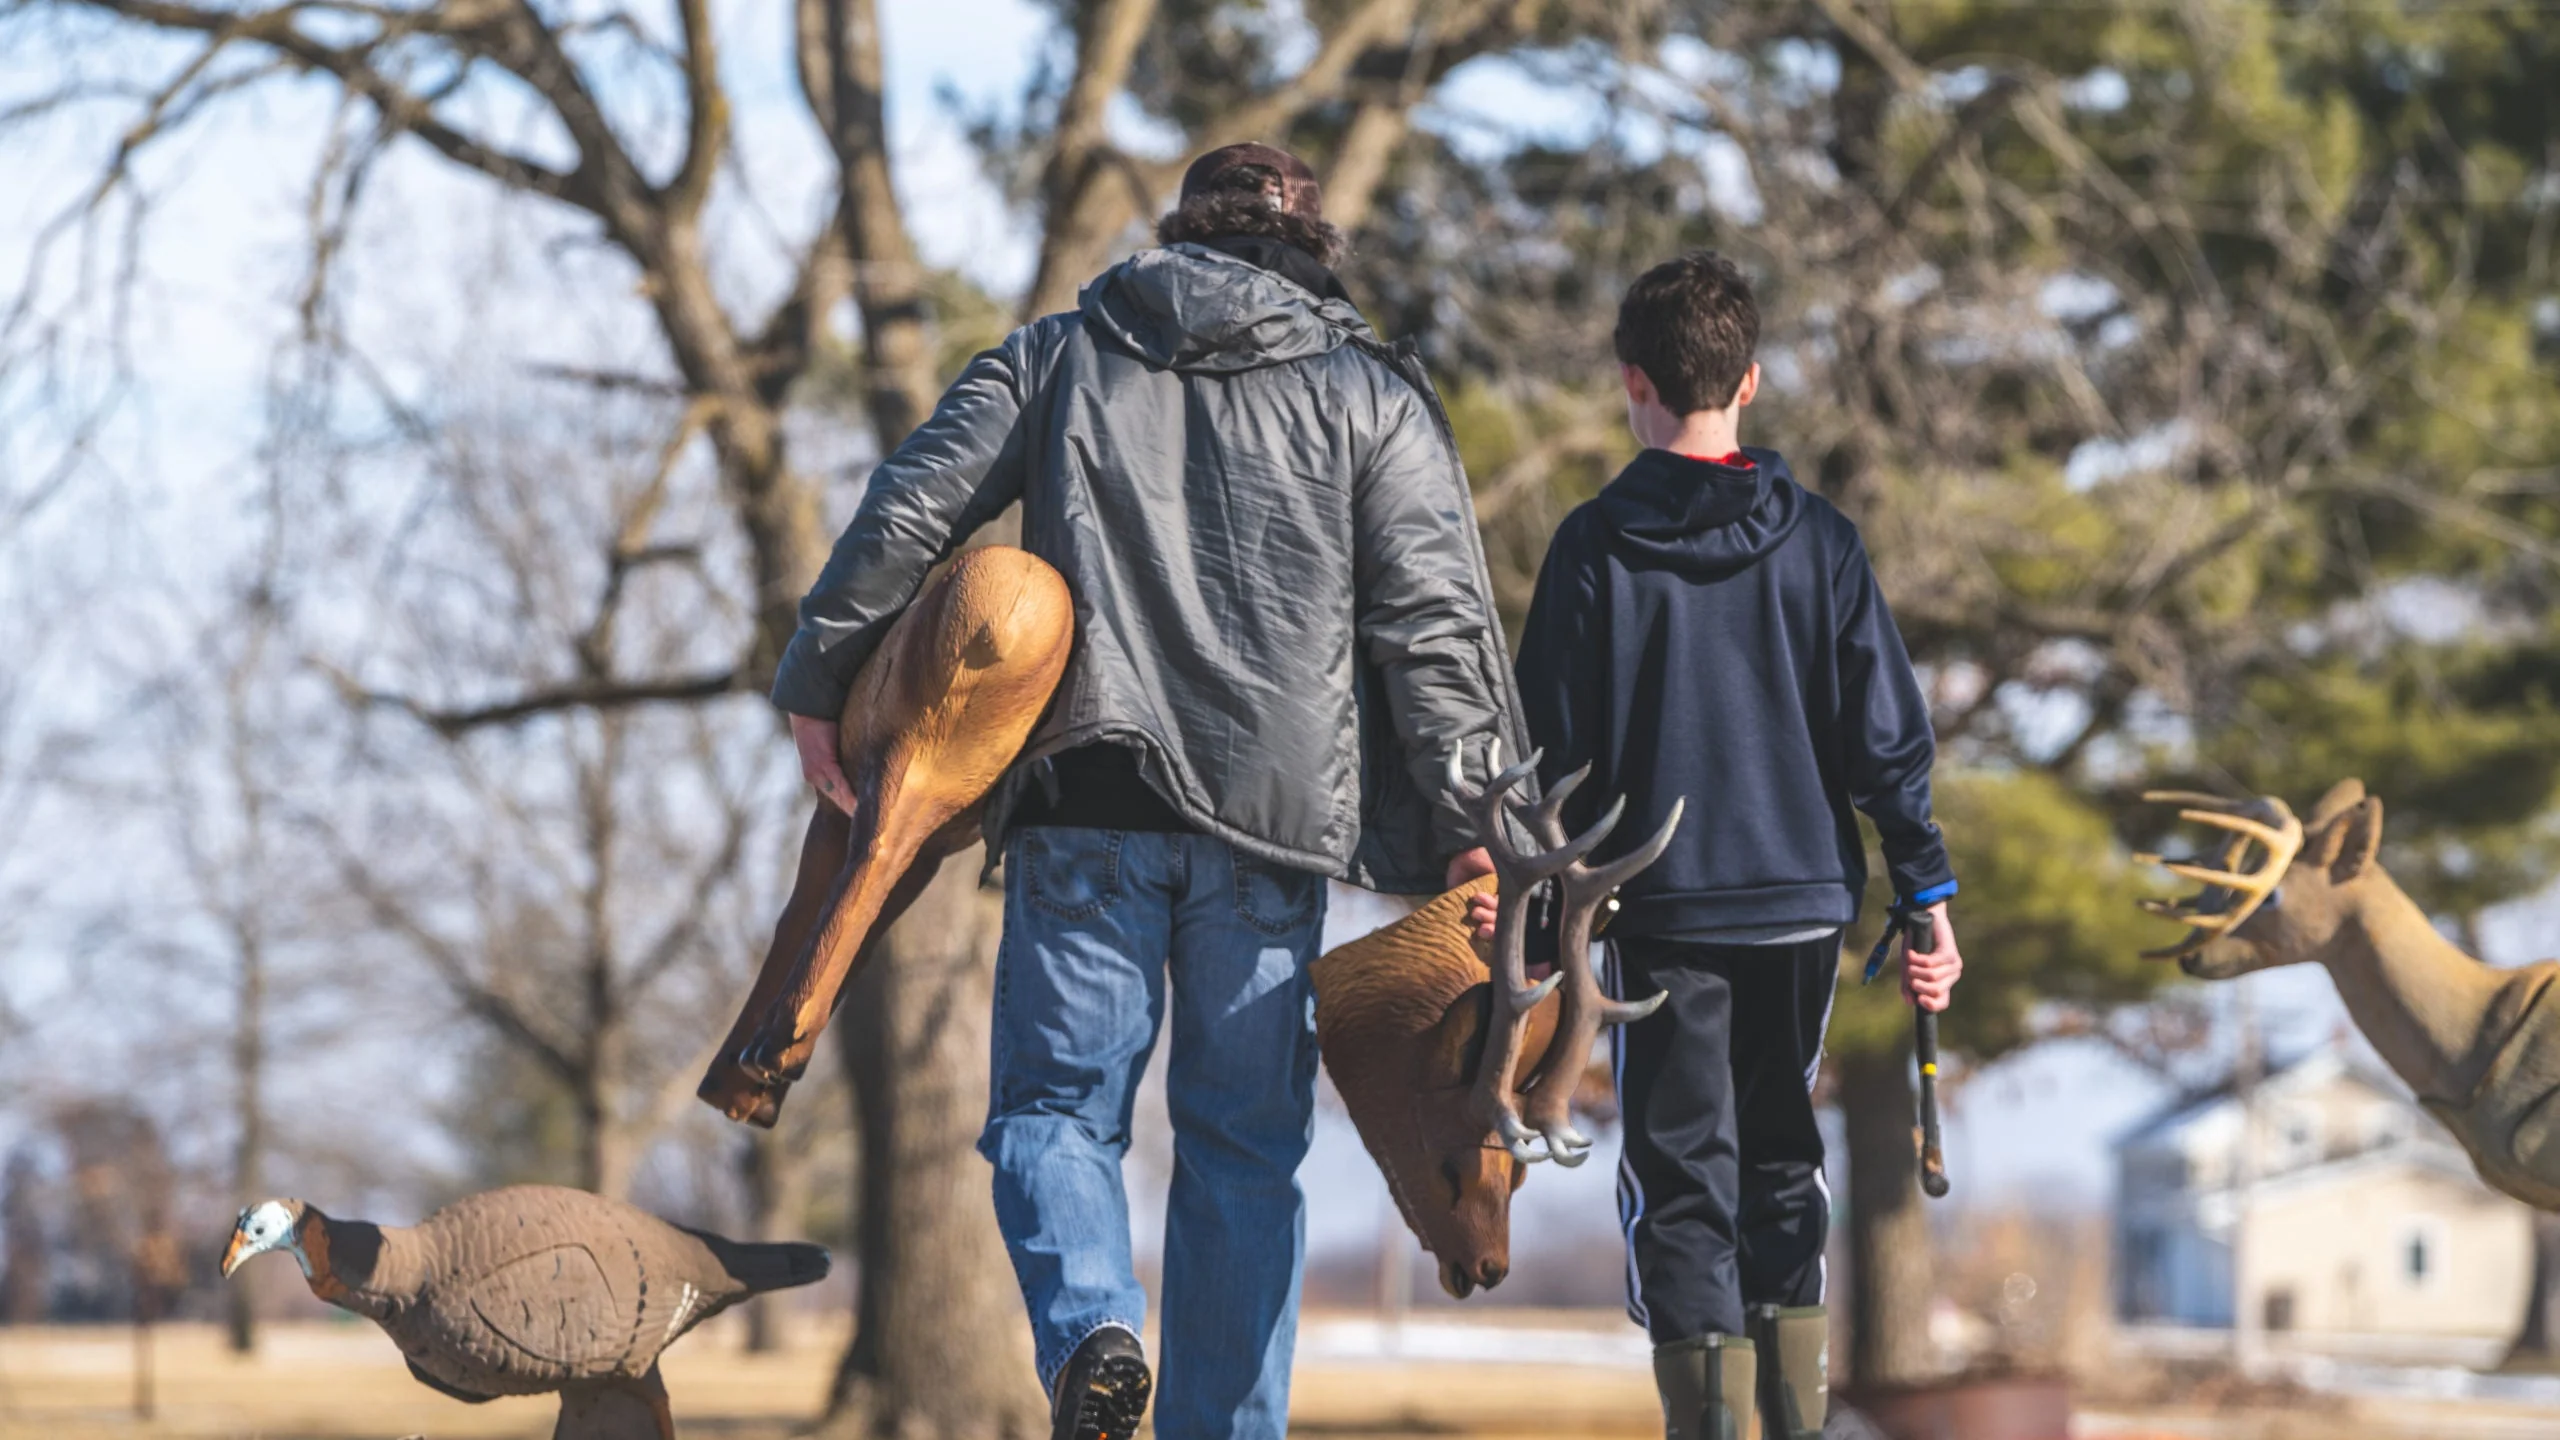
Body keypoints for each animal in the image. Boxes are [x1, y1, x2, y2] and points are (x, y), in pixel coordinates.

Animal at [697, 547, 1074, 1127]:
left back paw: (772, 1047)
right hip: (938, 777)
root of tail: (1005, 618)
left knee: (873, 856)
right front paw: (754, 1090)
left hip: (902, 749)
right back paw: (779, 1050)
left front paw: (738, 1089)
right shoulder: (936, 845)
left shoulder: (832, 806)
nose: (752, 1109)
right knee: (882, 864)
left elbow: (795, 918)